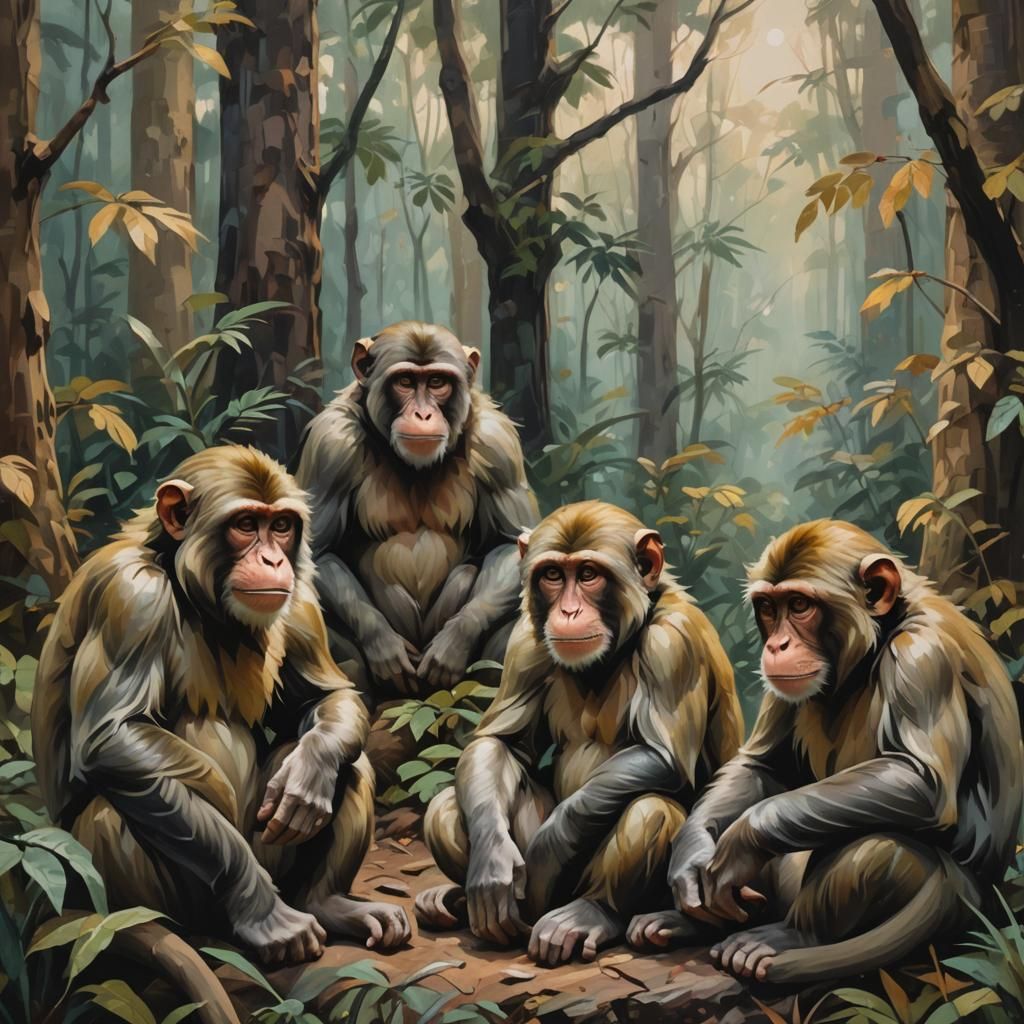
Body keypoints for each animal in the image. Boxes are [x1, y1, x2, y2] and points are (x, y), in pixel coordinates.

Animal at [31, 446, 412, 964]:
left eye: (282, 526)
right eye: (247, 524)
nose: (273, 558)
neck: (186, 583)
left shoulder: (300, 601)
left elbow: (328, 698)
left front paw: (309, 774)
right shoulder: (132, 596)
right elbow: (113, 740)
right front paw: (262, 911)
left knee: (349, 763)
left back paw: (327, 901)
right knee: (116, 805)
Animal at [291, 321, 539, 785]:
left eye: (437, 382)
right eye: (406, 381)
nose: (423, 414)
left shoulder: (497, 442)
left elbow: (511, 543)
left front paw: (456, 640)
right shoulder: (331, 443)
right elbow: (315, 551)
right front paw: (382, 642)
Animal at [413, 501, 744, 966]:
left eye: (588, 574)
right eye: (553, 575)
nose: (567, 611)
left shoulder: (672, 644)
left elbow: (661, 759)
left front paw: (547, 851)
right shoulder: (526, 641)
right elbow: (499, 742)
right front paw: (492, 863)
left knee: (650, 809)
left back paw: (595, 914)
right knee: (445, 804)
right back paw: (458, 897)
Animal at [628, 519, 1024, 984]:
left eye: (799, 604)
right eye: (769, 607)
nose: (777, 645)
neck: (880, 636)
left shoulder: (923, 656)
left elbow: (919, 782)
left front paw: (741, 841)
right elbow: (760, 766)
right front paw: (691, 858)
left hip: (959, 908)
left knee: (878, 843)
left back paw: (793, 935)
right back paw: (692, 922)